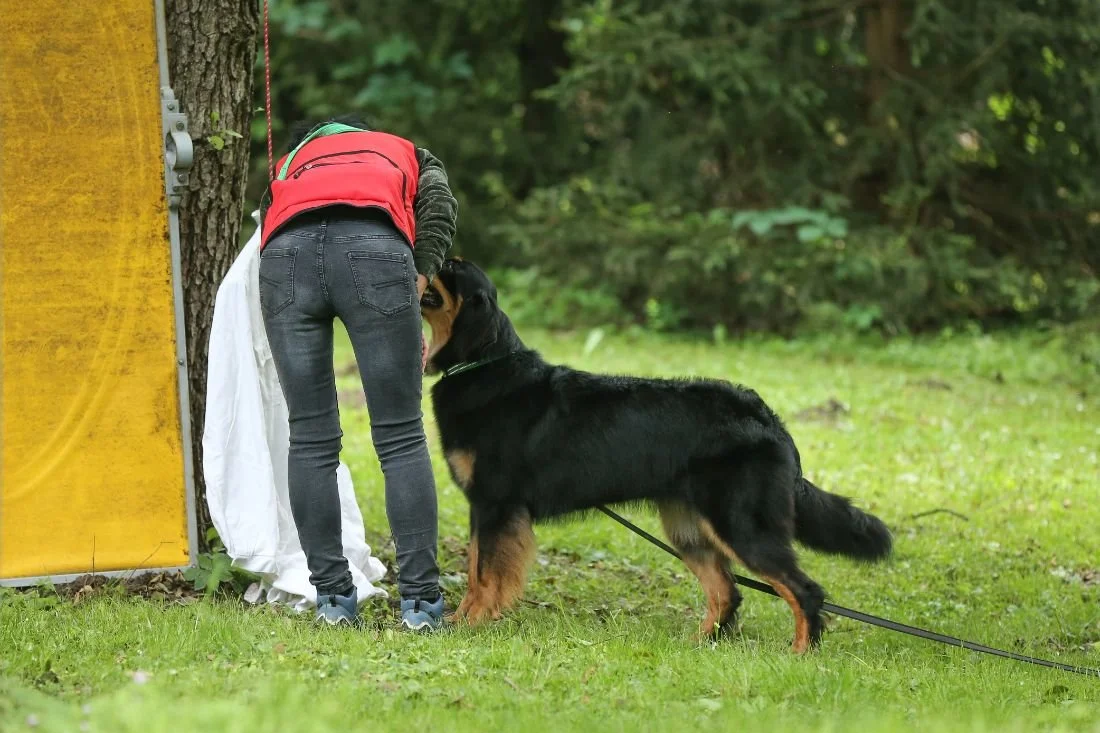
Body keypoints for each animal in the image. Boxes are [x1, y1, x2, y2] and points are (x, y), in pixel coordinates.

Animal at [420, 258, 892, 652]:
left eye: (451, 267)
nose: (428, 254)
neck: (482, 364)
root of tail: (767, 417)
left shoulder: (496, 504)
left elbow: (484, 573)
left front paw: (471, 623)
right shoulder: (487, 507)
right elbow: (477, 567)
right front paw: (462, 620)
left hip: (741, 524)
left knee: (803, 589)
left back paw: (799, 653)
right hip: (690, 528)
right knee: (728, 591)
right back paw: (700, 645)